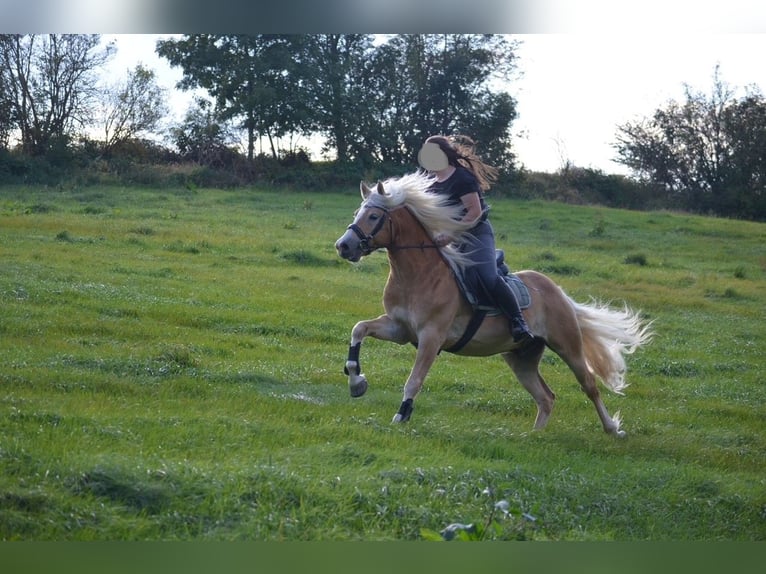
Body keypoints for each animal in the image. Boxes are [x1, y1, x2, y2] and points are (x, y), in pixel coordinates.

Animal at [336, 173, 656, 438]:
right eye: (357, 213)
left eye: (373, 216)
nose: (344, 246)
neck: (417, 275)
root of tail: (556, 291)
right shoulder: (399, 329)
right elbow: (358, 329)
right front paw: (356, 382)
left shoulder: (431, 337)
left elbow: (414, 380)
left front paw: (401, 416)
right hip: (521, 358)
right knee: (546, 397)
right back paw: (533, 437)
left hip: (567, 345)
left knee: (588, 384)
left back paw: (613, 429)